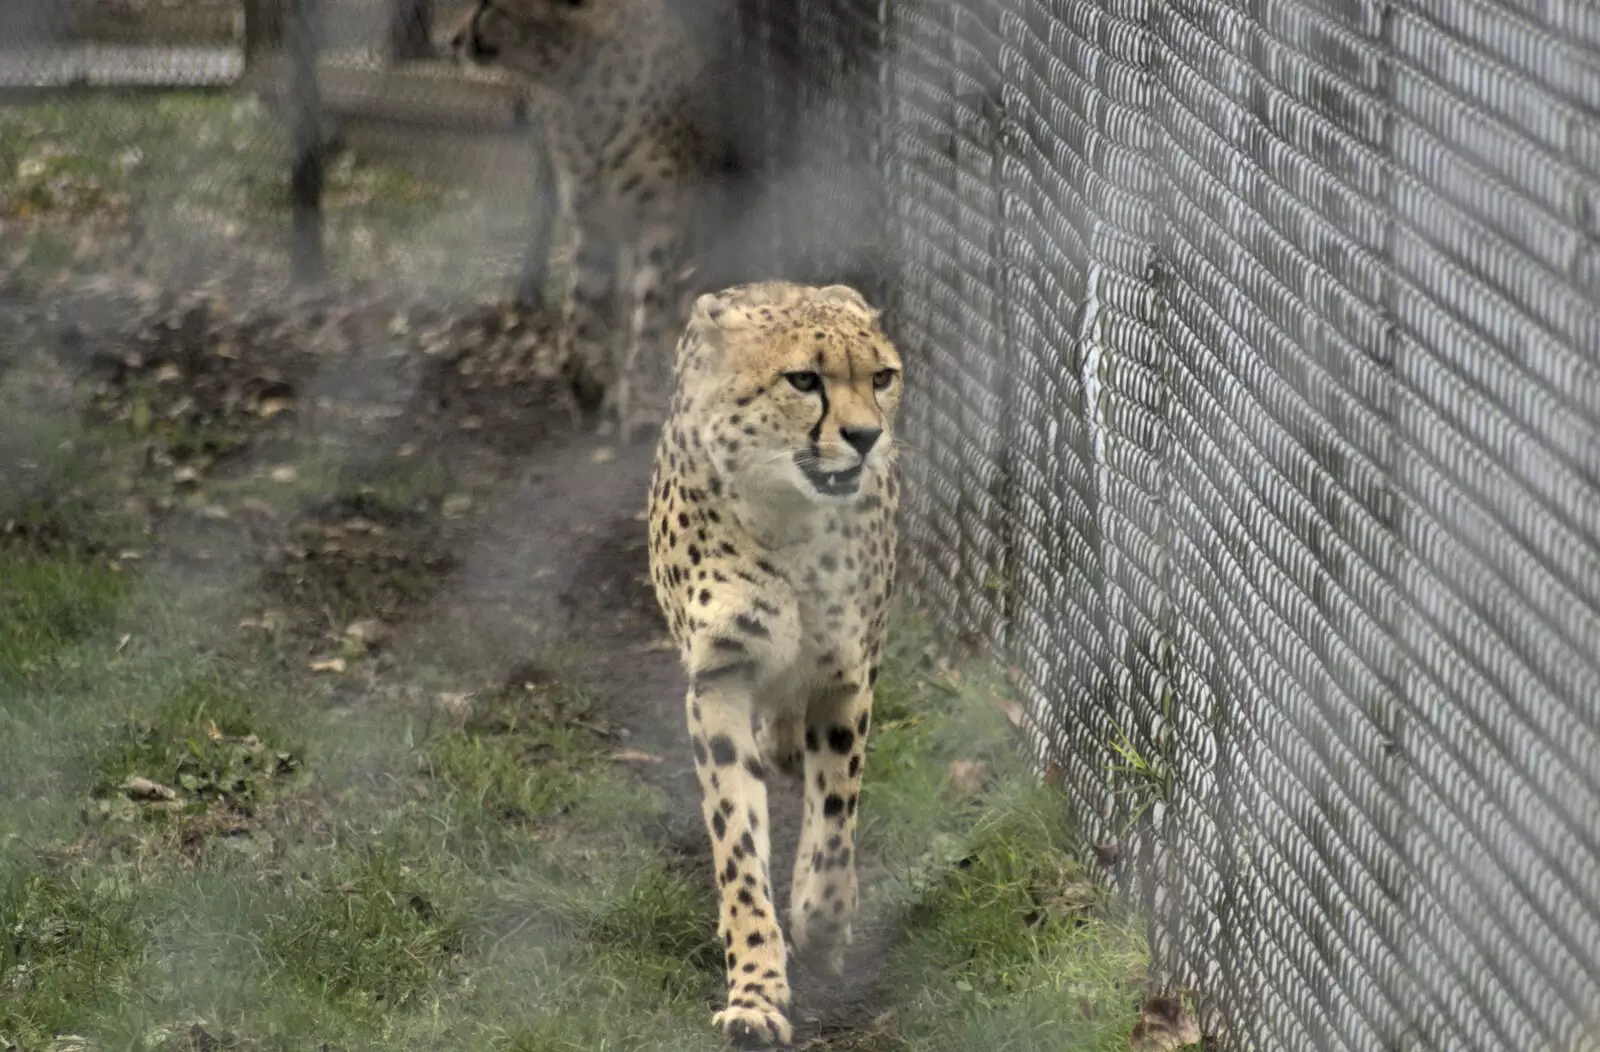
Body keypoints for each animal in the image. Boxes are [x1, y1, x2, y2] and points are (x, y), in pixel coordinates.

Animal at [444, 0, 732, 438]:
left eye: (488, 7)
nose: (453, 39)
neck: (579, 86)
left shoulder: (659, 220)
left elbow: (648, 314)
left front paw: (642, 402)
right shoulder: (591, 221)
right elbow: (579, 311)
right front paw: (584, 381)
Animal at [646, 278, 902, 1042]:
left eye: (881, 377)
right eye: (803, 381)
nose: (867, 437)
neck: (787, 518)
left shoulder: (846, 672)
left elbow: (837, 815)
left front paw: (821, 919)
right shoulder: (720, 679)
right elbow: (736, 846)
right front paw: (756, 991)